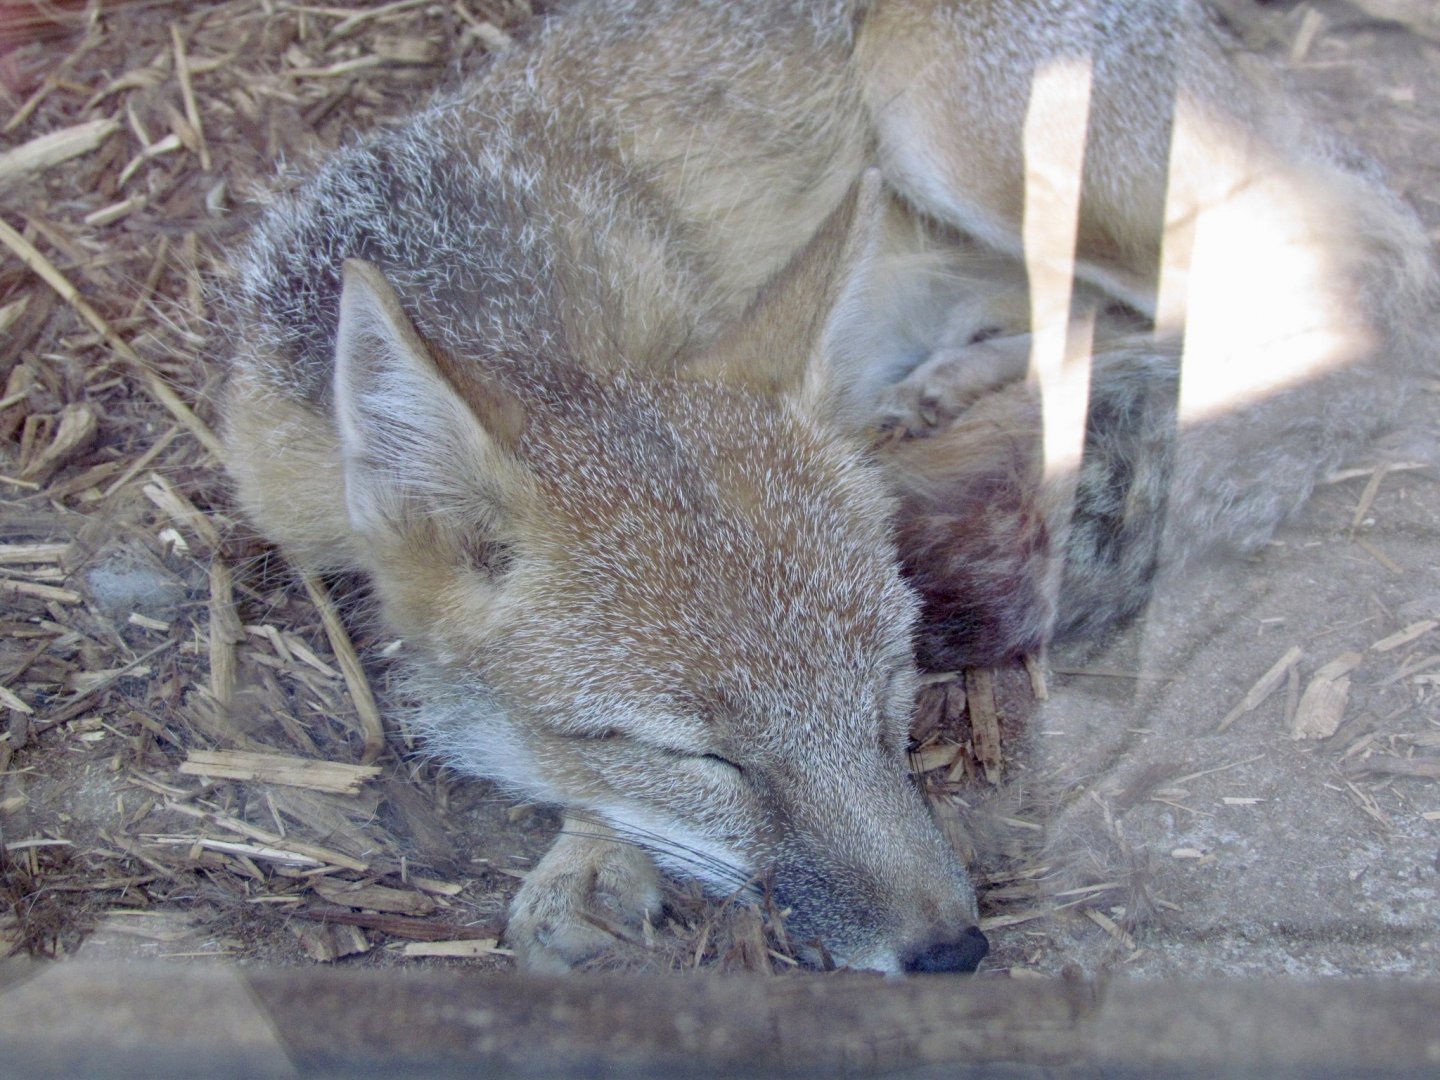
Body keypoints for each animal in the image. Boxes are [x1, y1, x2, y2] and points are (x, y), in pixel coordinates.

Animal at [219, 0, 1432, 974]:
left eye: (889, 687)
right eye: (701, 758)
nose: (955, 952)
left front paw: (590, 856)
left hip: (938, 108)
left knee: (1346, 288)